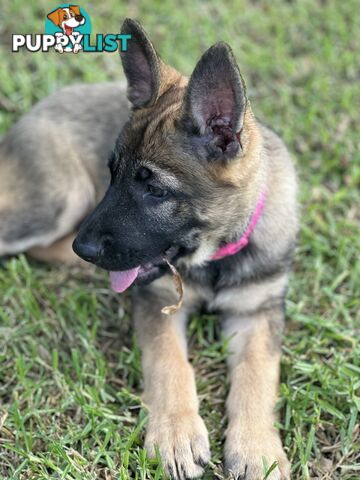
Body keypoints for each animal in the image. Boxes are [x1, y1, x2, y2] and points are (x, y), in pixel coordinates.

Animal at [0, 18, 298, 480]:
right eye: (113, 173)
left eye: (154, 190)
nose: (84, 248)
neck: (214, 257)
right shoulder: (158, 302)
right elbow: (170, 365)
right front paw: (177, 434)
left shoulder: (258, 312)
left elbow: (257, 376)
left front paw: (257, 450)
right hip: (58, 200)